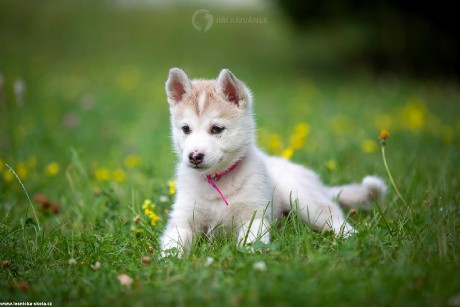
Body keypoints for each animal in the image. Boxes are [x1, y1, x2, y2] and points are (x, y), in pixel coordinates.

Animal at [160, 68, 386, 258]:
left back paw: (353, 238)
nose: (194, 156)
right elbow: (172, 247)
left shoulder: (254, 218)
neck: (218, 183)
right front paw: (170, 263)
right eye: (186, 129)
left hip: (304, 199)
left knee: (337, 220)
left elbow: (251, 244)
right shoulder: (181, 222)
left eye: (216, 129)